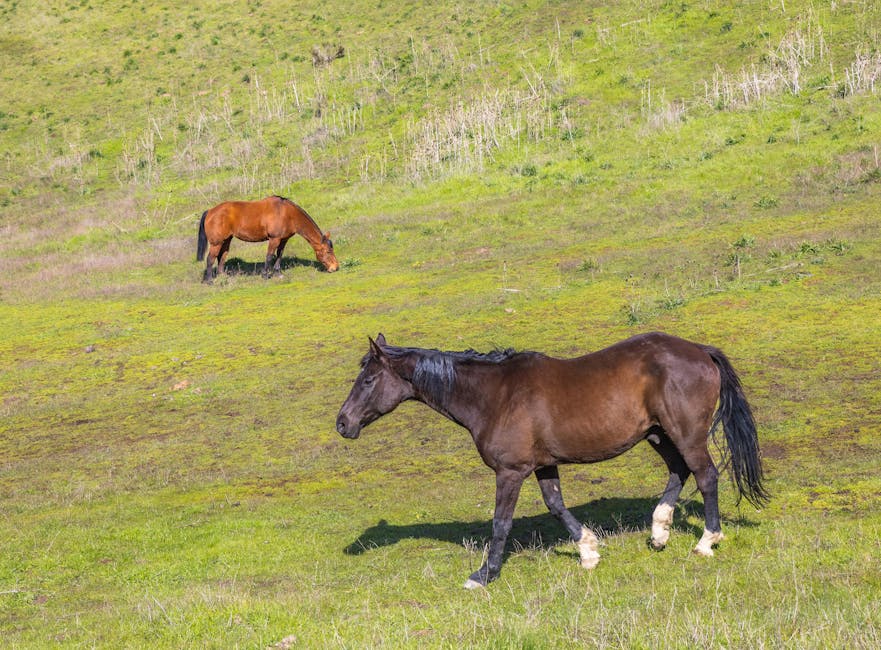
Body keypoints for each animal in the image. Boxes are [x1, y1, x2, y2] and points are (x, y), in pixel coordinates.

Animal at [198, 195, 338, 280]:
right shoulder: (274, 239)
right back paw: (210, 281)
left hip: (226, 241)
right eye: (328, 251)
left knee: (222, 257)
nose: (335, 267)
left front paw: (278, 273)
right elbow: (269, 256)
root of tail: (210, 211)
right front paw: (265, 275)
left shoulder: (283, 240)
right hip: (216, 243)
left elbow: (279, 255)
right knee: (210, 259)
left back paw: (223, 277)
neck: (287, 213)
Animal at [334, 332, 768, 588]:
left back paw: (706, 541)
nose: (342, 423)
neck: (495, 395)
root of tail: (700, 351)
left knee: (705, 475)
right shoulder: (543, 465)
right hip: (658, 433)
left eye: (368, 380)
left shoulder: (510, 472)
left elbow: (501, 523)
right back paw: (659, 530)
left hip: (686, 434)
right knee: (679, 471)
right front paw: (588, 551)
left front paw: (484, 574)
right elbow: (556, 505)